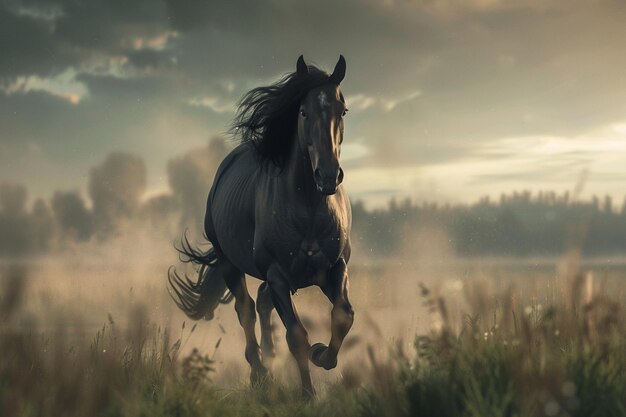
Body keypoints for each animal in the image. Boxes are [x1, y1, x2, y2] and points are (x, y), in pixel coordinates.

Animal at [167, 55, 352, 396]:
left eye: (342, 110)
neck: (309, 210)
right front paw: (307, 393)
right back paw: (260, 373)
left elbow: (343, 316)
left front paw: (322, 354)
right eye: (303, 112)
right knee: (246, 310)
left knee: (263, 303)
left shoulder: (334, 267)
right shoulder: (278, 273)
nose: (328, 176)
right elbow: (296, 335)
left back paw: (269, 358)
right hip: (230, 264)